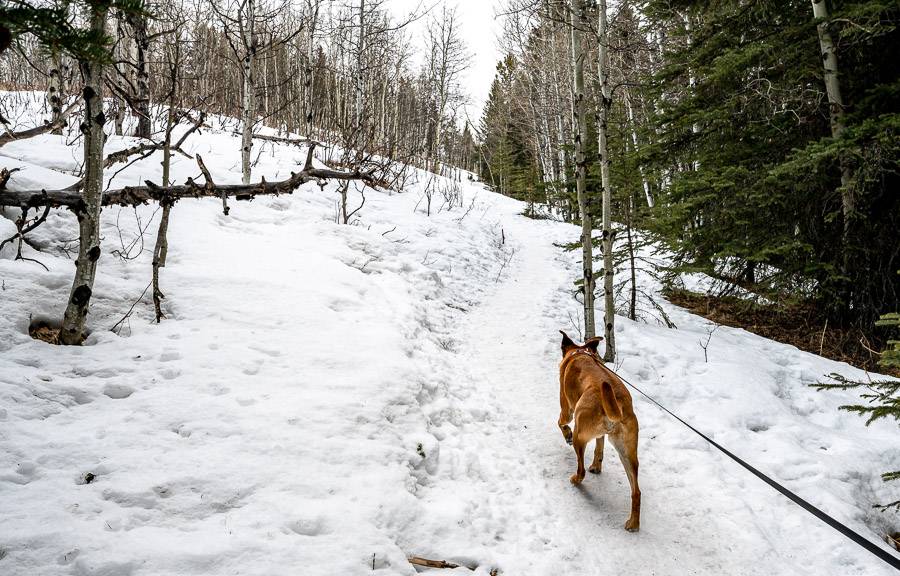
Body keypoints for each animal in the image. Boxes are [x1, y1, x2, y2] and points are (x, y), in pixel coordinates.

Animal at [556, 330, 640, 532]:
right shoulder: (600, 435)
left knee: (581, 471)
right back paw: (633, 523)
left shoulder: (566, 410)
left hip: (580, 434)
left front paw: (566, 434)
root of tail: (618, 403)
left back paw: (575, 479)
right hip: (628, 454)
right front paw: (597, 465)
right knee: (637, 492)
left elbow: (561, 423)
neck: (581, 353)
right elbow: (599, 447)